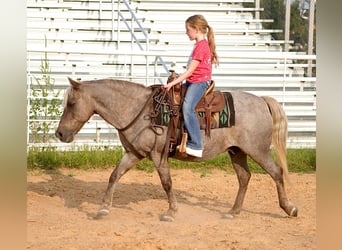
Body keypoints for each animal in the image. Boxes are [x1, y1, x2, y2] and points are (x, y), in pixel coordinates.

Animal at [55, 76, 296, 221]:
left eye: (72, 104)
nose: (60, 134)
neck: (140, 110)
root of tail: (261, 101)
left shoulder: (157, 155)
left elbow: (166, 182)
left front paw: (171, 211)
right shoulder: (134, 153)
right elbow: (114, 175)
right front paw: (103, 208)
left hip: (258, 150)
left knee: (276, 172)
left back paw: (289, 208)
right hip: (237, 151)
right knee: (244, 177)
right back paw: (232, 212)